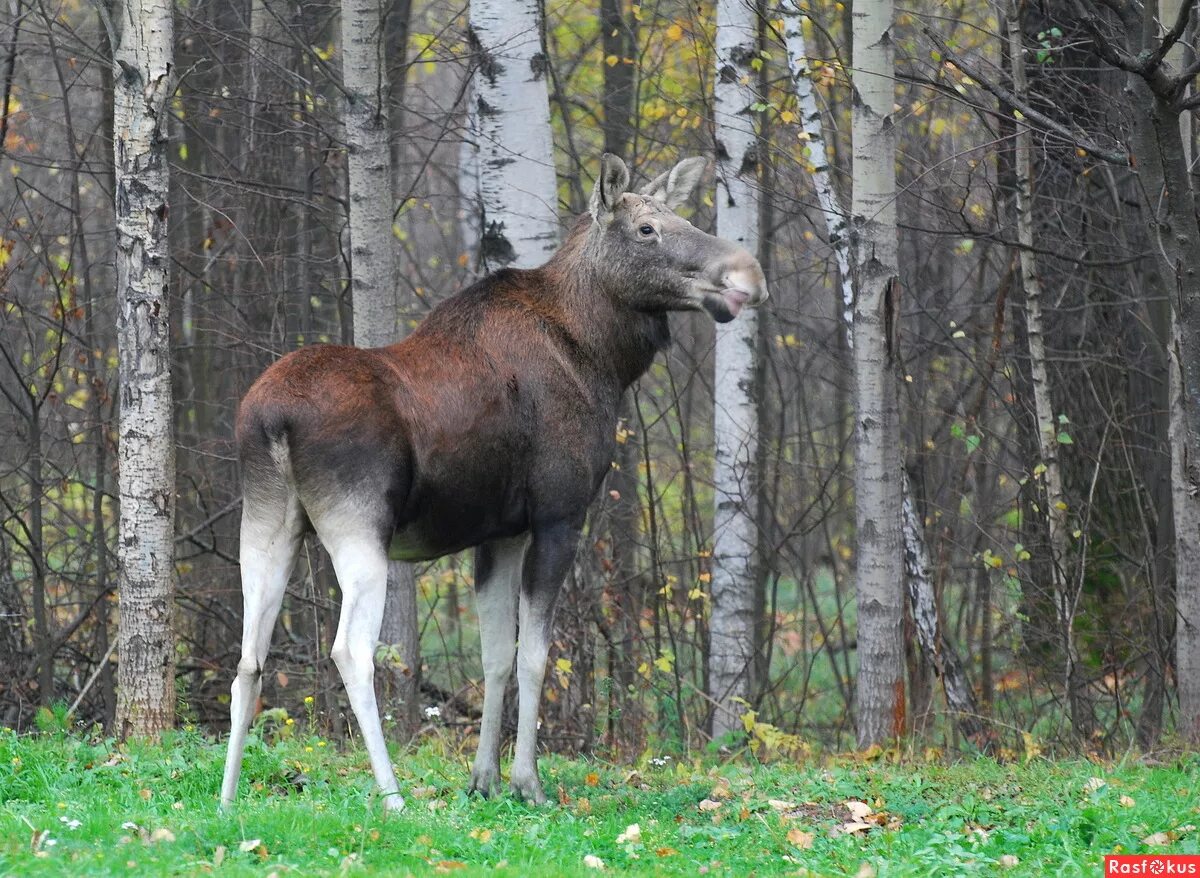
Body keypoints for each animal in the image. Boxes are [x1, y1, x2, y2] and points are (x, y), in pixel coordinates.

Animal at [219, 151, 768, 810]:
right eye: (646, 229)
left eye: (683, 218)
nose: (746, 273)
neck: (602, 357)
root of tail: (272, 420)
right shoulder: (558, 516)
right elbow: (534, 655)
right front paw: (527, 781)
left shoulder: (498, 533)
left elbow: (494, 656)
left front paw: (483, 779)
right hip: (358, 529)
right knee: (350, 650)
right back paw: (393, 796)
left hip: (268, 523)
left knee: (248, 659)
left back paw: (225, 801)